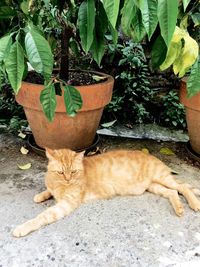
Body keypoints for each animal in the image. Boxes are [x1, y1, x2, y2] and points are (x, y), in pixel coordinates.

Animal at [13, 149, 200, 239]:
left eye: (73, 172)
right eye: (61, 172)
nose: (67, 179)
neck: (60, 184)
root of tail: (152, 156)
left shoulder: (66, 204)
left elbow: (42, 217)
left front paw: (22, 228)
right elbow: (48, 191)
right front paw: (41, 195)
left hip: (161, 178)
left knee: (183, 187)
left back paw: (194, 203)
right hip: (154, 186)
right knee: (173, 191)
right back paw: (179, 208)